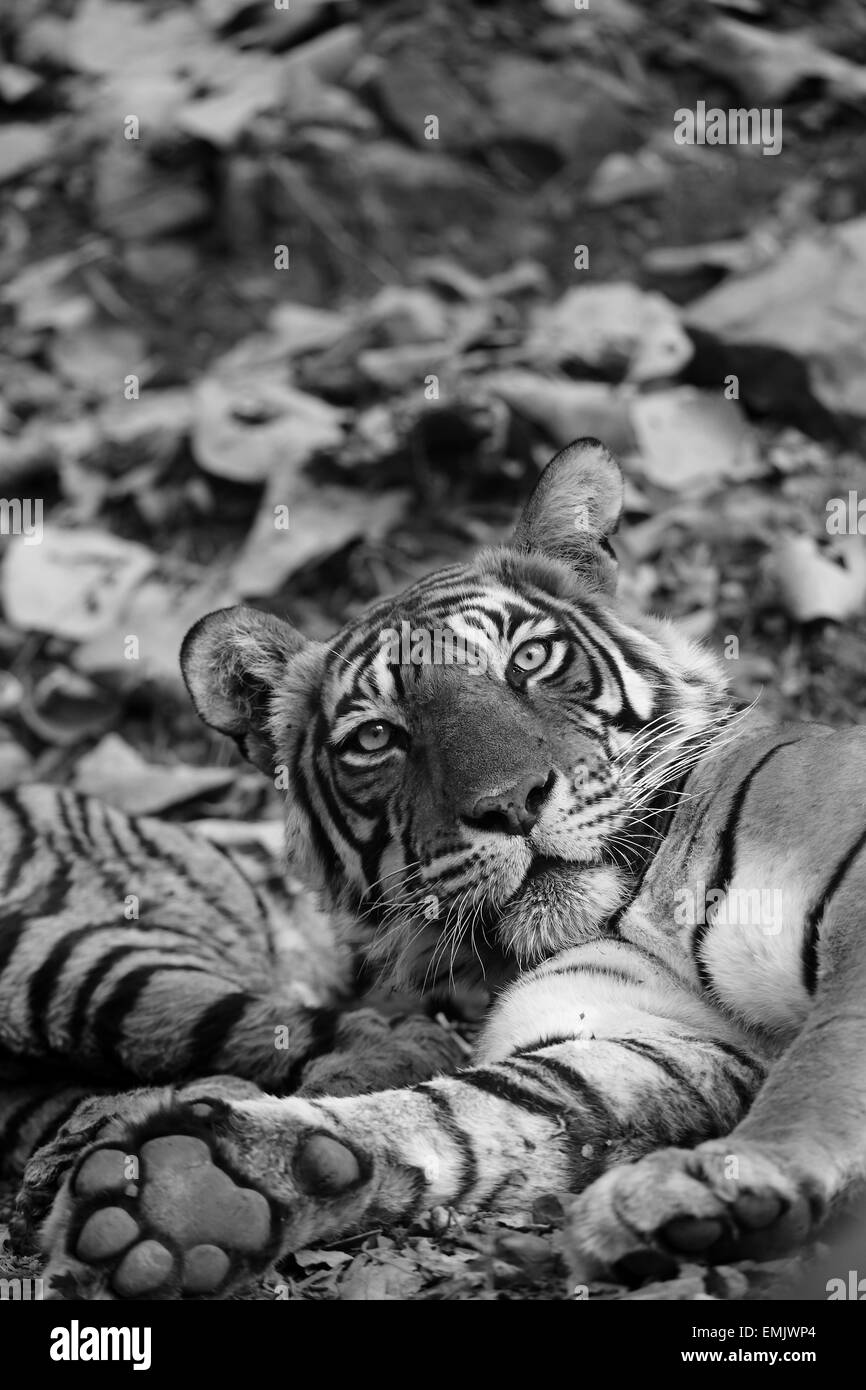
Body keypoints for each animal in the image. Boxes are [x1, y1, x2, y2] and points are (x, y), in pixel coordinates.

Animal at [1, 439, 866, 1295]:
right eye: (377, 737)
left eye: (531, 657)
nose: (511, 803)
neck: (633, 905)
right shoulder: (652, 1039)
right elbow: (477, 1109)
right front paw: (196, 1193)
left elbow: (822, 1062)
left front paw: (739, 1172)